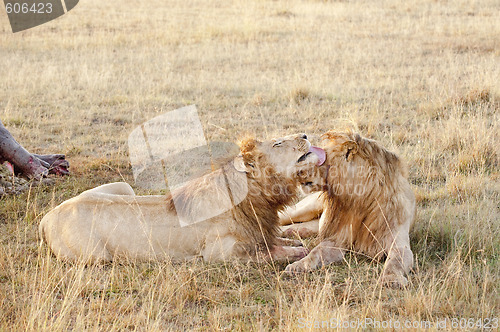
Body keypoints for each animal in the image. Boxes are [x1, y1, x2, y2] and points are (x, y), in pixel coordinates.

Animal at [40, 134, 328, 264]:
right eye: (278, 143)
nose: (304, 135)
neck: (259, 199)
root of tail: (48, 216)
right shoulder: (218, 254)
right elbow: (266, 254)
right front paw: (296, 251)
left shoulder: (260, 231)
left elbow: (275, 240)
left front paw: (295, 243)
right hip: (96, 256)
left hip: (124, 187)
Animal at [284, 131, 416, 286]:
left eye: (320, 161)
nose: (297, 173)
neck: (360, 199)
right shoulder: (337, 239)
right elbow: (315, 252)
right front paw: (298, 265)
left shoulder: (399, 244)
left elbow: (395, 261)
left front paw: (391, 279)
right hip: (302, 210)